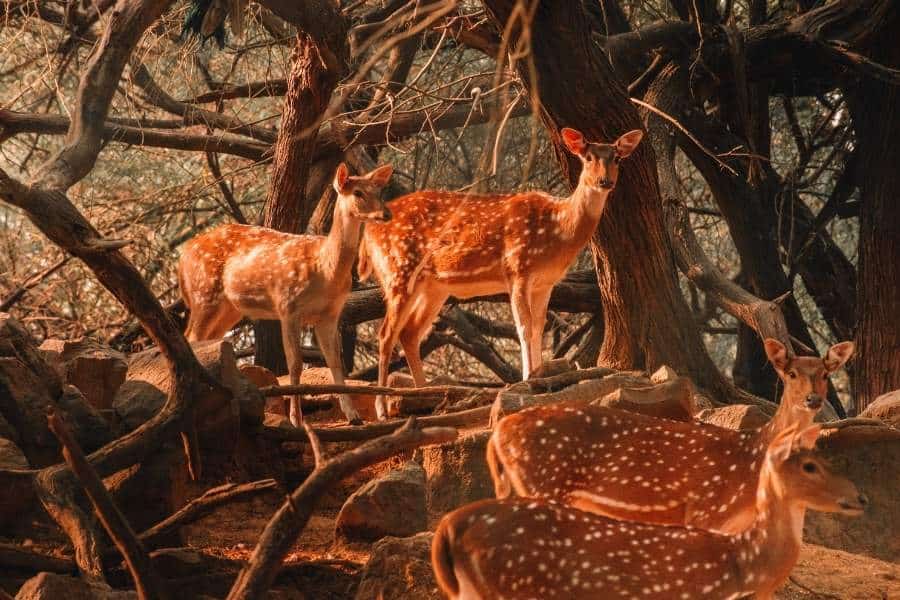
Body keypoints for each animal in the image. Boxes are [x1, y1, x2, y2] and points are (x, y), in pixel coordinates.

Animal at [178, 162, 394, 427]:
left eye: (379, 191)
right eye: (358, 193)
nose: (386, 214)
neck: (326, 269)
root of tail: (182, 258)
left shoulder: (330, 315)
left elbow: (335, 361)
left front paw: (353, 416)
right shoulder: (288, 306)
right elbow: (295, 363)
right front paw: (296, 419)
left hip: (229, 309)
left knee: (205, 339)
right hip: (204, 294)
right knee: (191, 336)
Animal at [359, 127, 644, 419]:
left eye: (617, 158)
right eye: (587, 157)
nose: (604, 181)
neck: (559, 231)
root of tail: (368, 233)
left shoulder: (546, 283)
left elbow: (539, 326)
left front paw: (540, 378)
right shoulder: (518, 268)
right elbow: (524, 327)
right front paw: (528, 379)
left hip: (433, 286)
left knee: (410, 332)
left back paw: (424, 394)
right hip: (398, 269)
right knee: (386, 333)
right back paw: (382, 407)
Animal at [486, 338, 855, 534]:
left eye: (825, 373)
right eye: (790, 373)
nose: (813, 399)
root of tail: (498, 433)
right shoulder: (704, 512)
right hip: (541, 486)